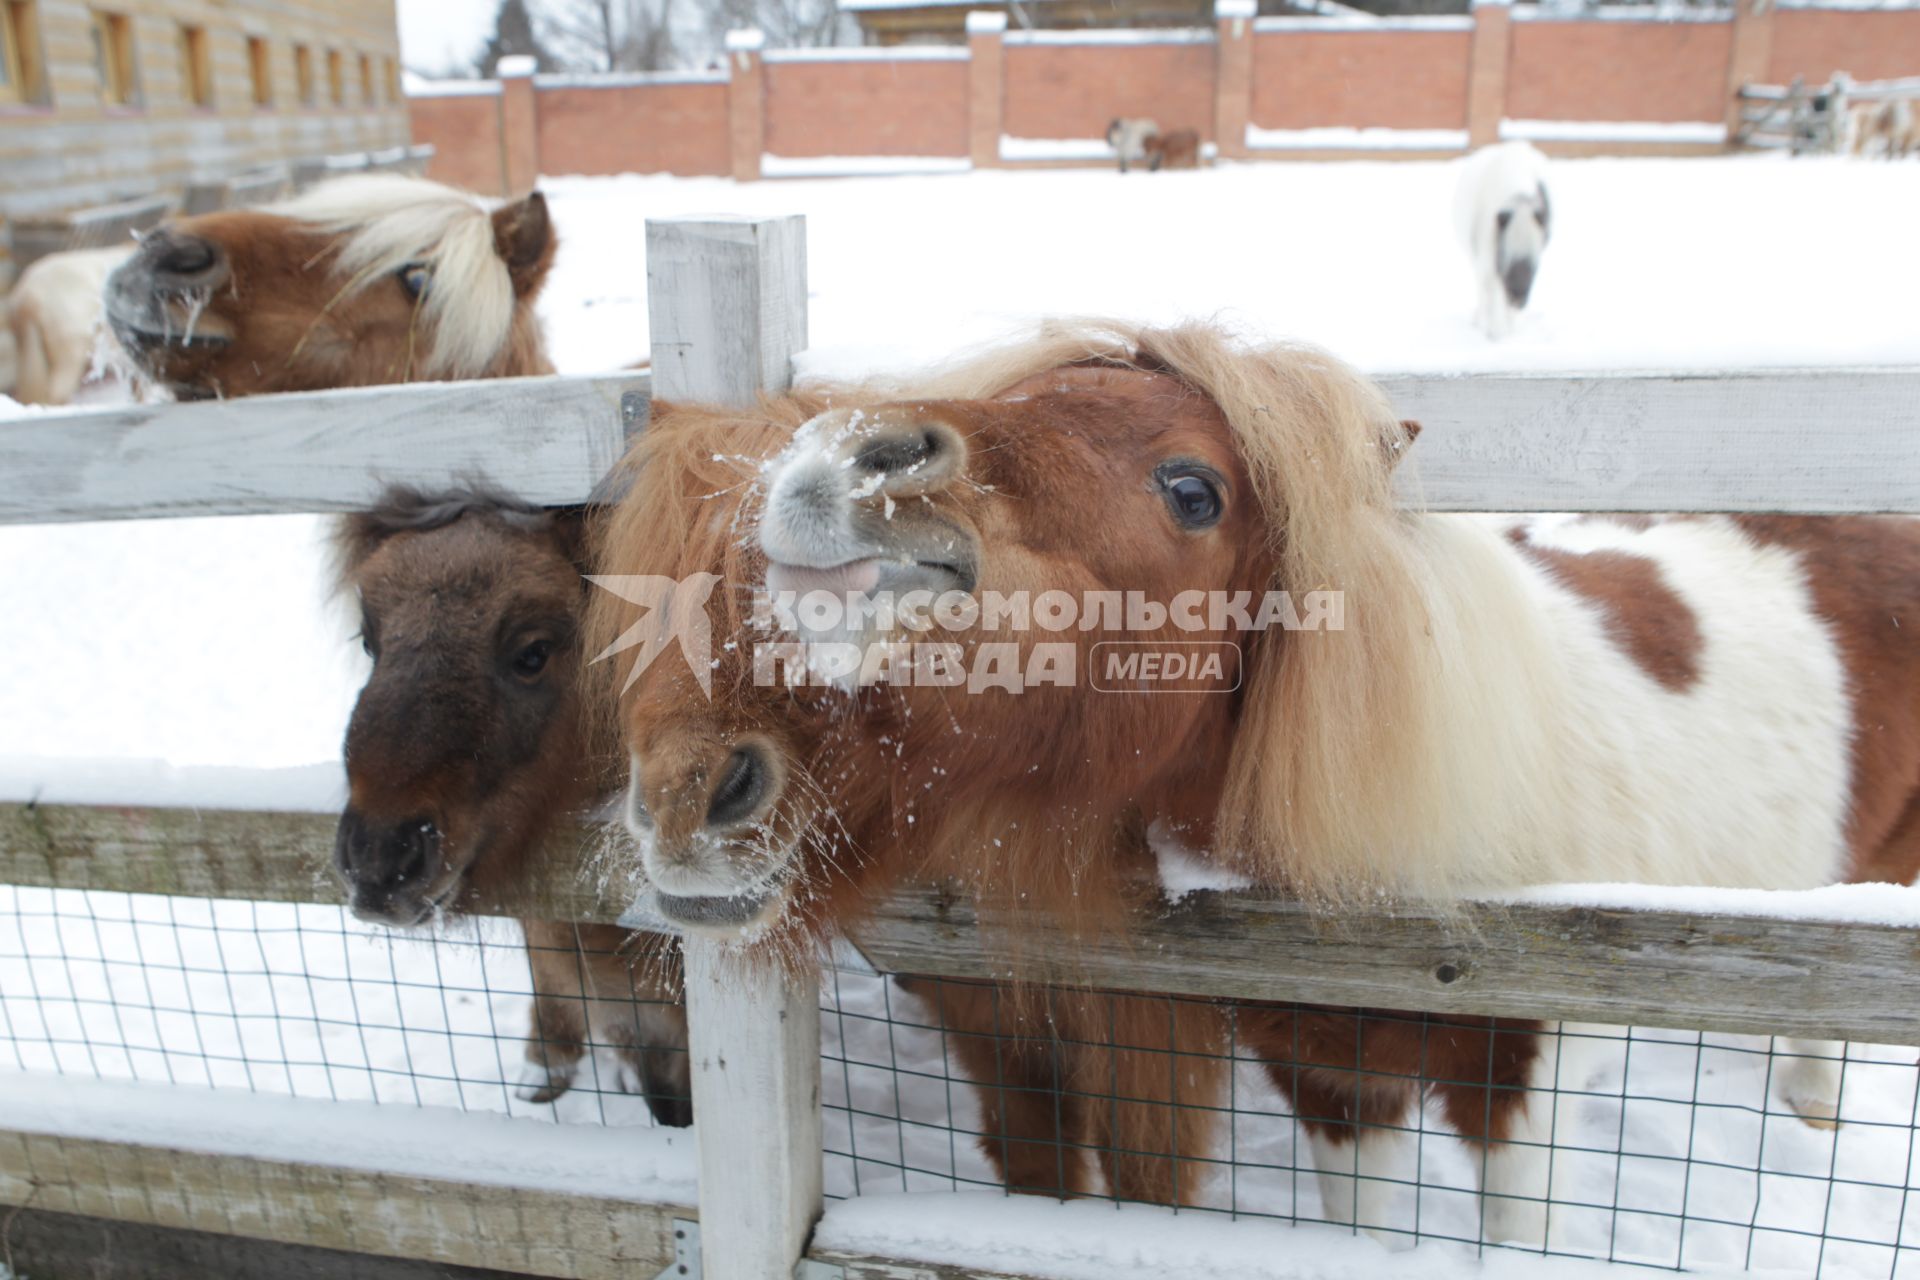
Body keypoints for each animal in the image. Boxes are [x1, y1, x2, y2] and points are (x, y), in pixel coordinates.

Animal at [1443, 142, 1551, 339]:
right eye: (1507, 254)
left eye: (1533, 262)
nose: (1519, 301)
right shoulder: (1488, 254)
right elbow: (1490, 290)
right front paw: (1494, 333)